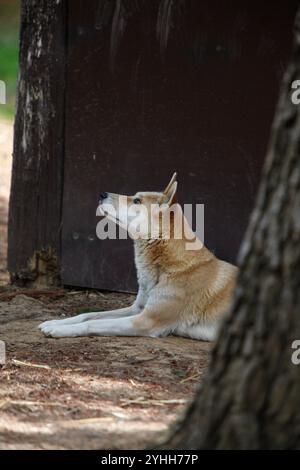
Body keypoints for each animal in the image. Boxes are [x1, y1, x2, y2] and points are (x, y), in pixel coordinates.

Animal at [39, 174, 237, 340]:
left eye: (136, 201)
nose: (102, 194)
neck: (166, 266)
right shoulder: (137, 308)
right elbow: (90, 315)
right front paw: (54, 322)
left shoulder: (146, 320)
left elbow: (94, 323)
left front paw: (59, 330)